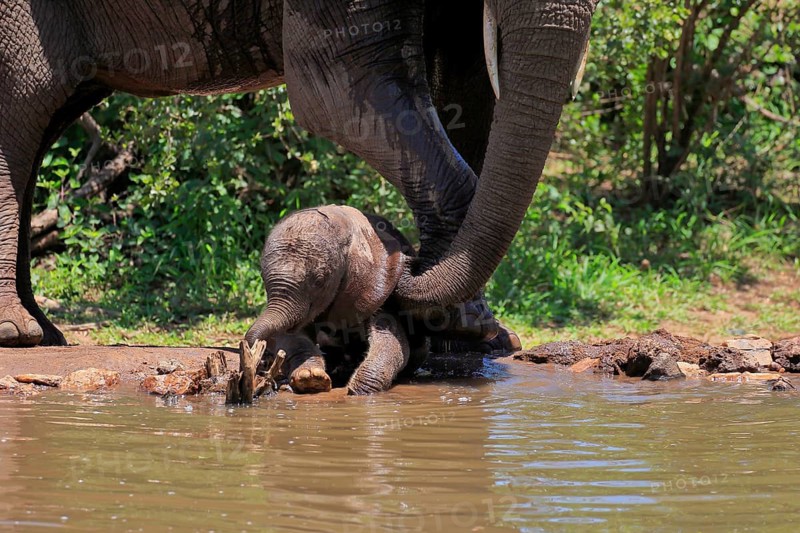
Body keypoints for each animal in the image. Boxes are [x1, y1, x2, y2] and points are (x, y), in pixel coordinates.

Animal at [0, 0, 597, 347]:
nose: (402, 263)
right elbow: (342, 92)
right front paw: (464, 325)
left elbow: (467, 88)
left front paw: (475, 331)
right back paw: (19, 332)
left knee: (44, 119)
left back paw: (45, 333)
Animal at [245, 204, 428, 395]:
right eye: (263, 278)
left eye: (319, 281)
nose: (260, 362)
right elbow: (290, 339)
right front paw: (310, 378)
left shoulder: (378, 285)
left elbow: (392, 341)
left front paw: (359, 391)